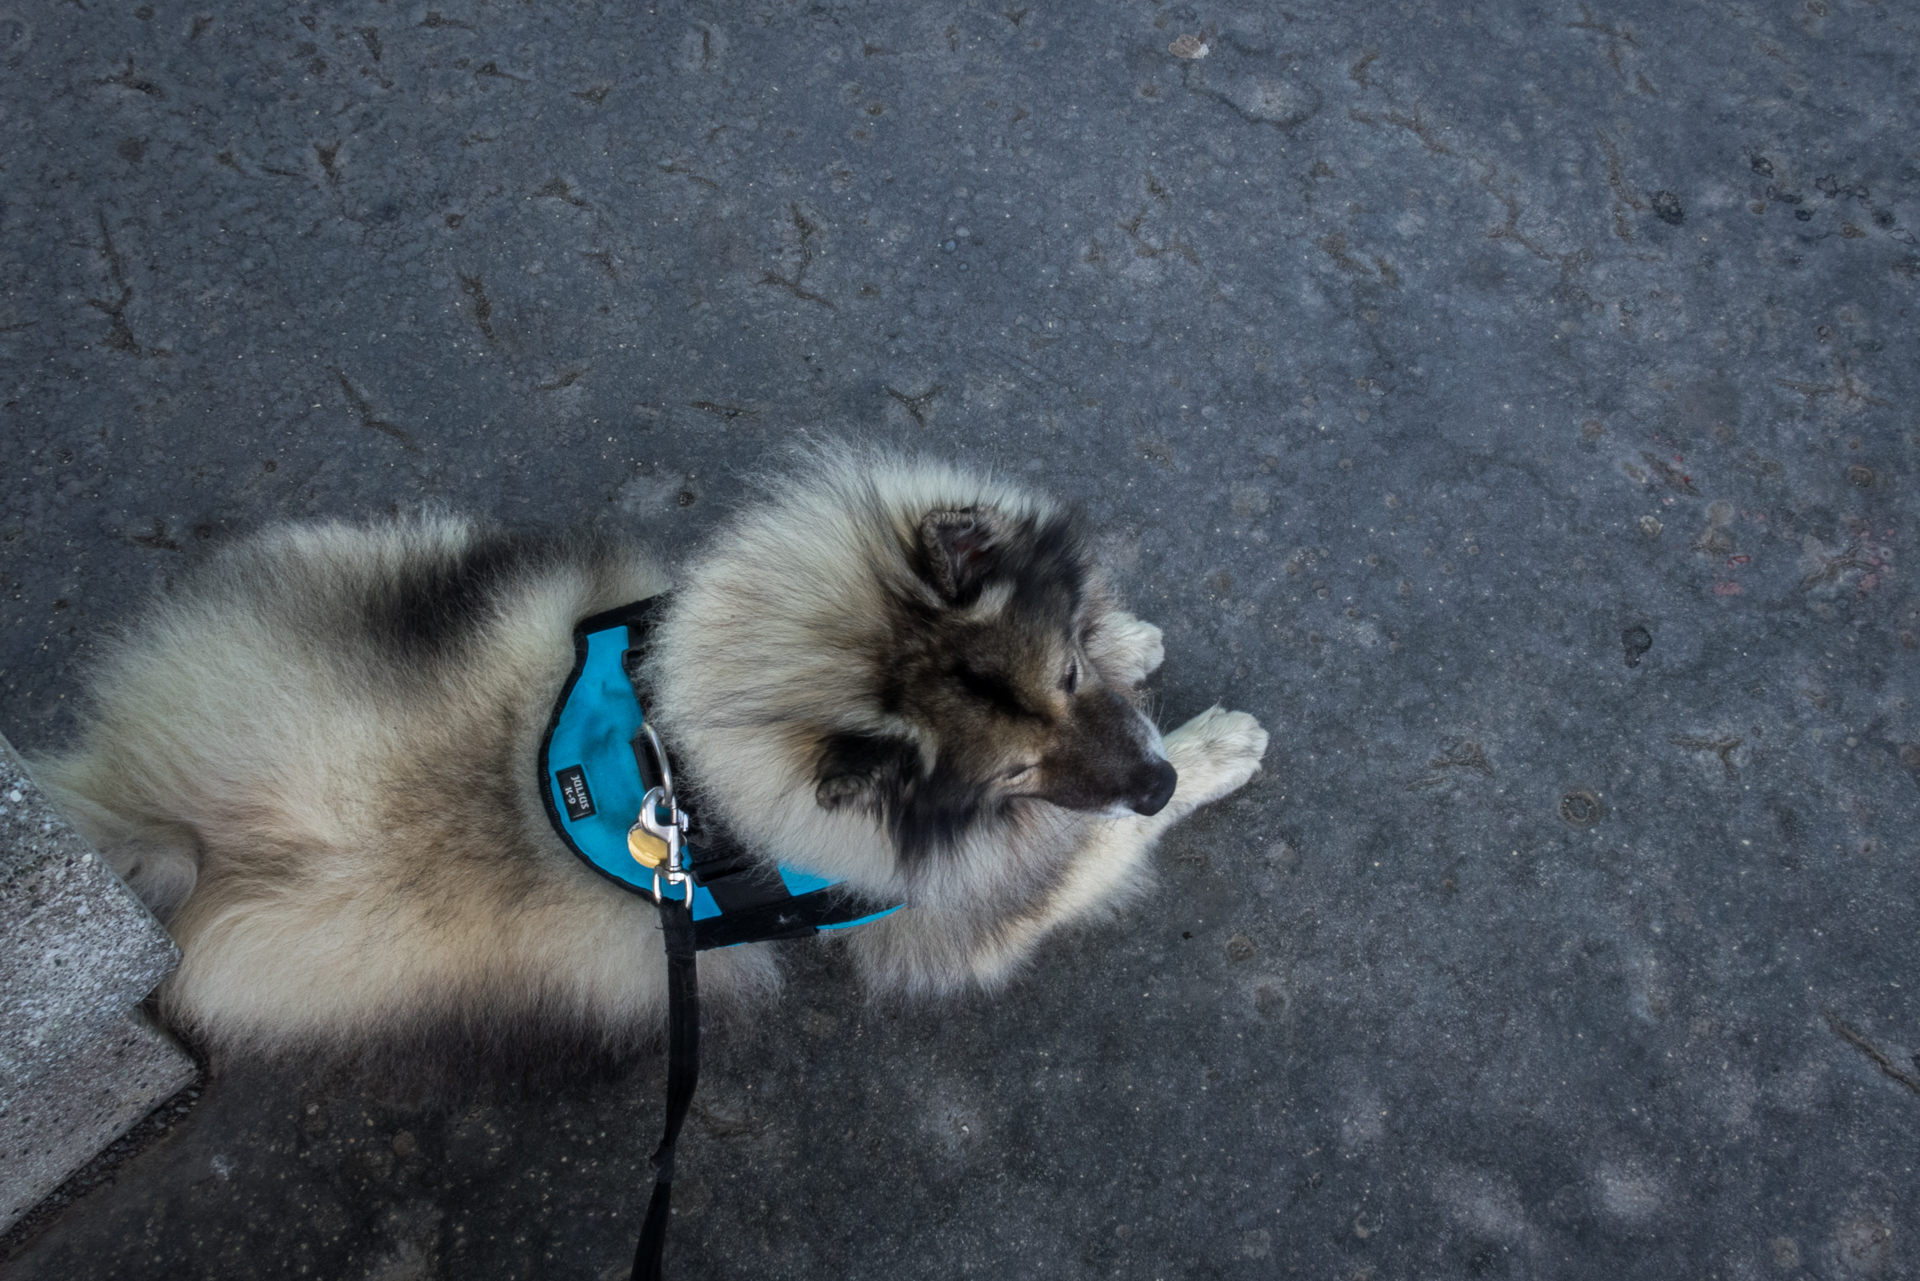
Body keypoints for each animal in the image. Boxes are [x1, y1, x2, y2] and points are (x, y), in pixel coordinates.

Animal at [30, 451, 1267, 1083]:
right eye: (1010, 780)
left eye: (1066, 672)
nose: (1152, 780)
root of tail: (161, 822)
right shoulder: (950, 915)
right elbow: (1086, 855)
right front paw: (1210, 751)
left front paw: (1135, 645)